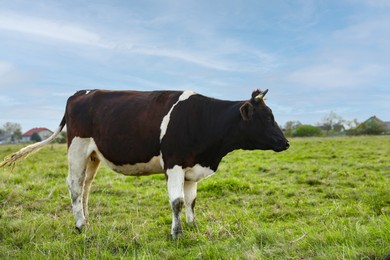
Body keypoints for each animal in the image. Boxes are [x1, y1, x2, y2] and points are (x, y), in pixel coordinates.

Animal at [0, 89, 290, 238]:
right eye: (266, 118)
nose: (285, 142)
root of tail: (82, 92)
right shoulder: (173, 163)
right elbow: (177, 202)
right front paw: (176, 233)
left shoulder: (191, 167)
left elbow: (192, 201)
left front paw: (194, 226)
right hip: (77, 148)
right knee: (73, 185)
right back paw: (81, 226)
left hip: (93, 155)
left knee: (85, 187)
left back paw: (86, 221)